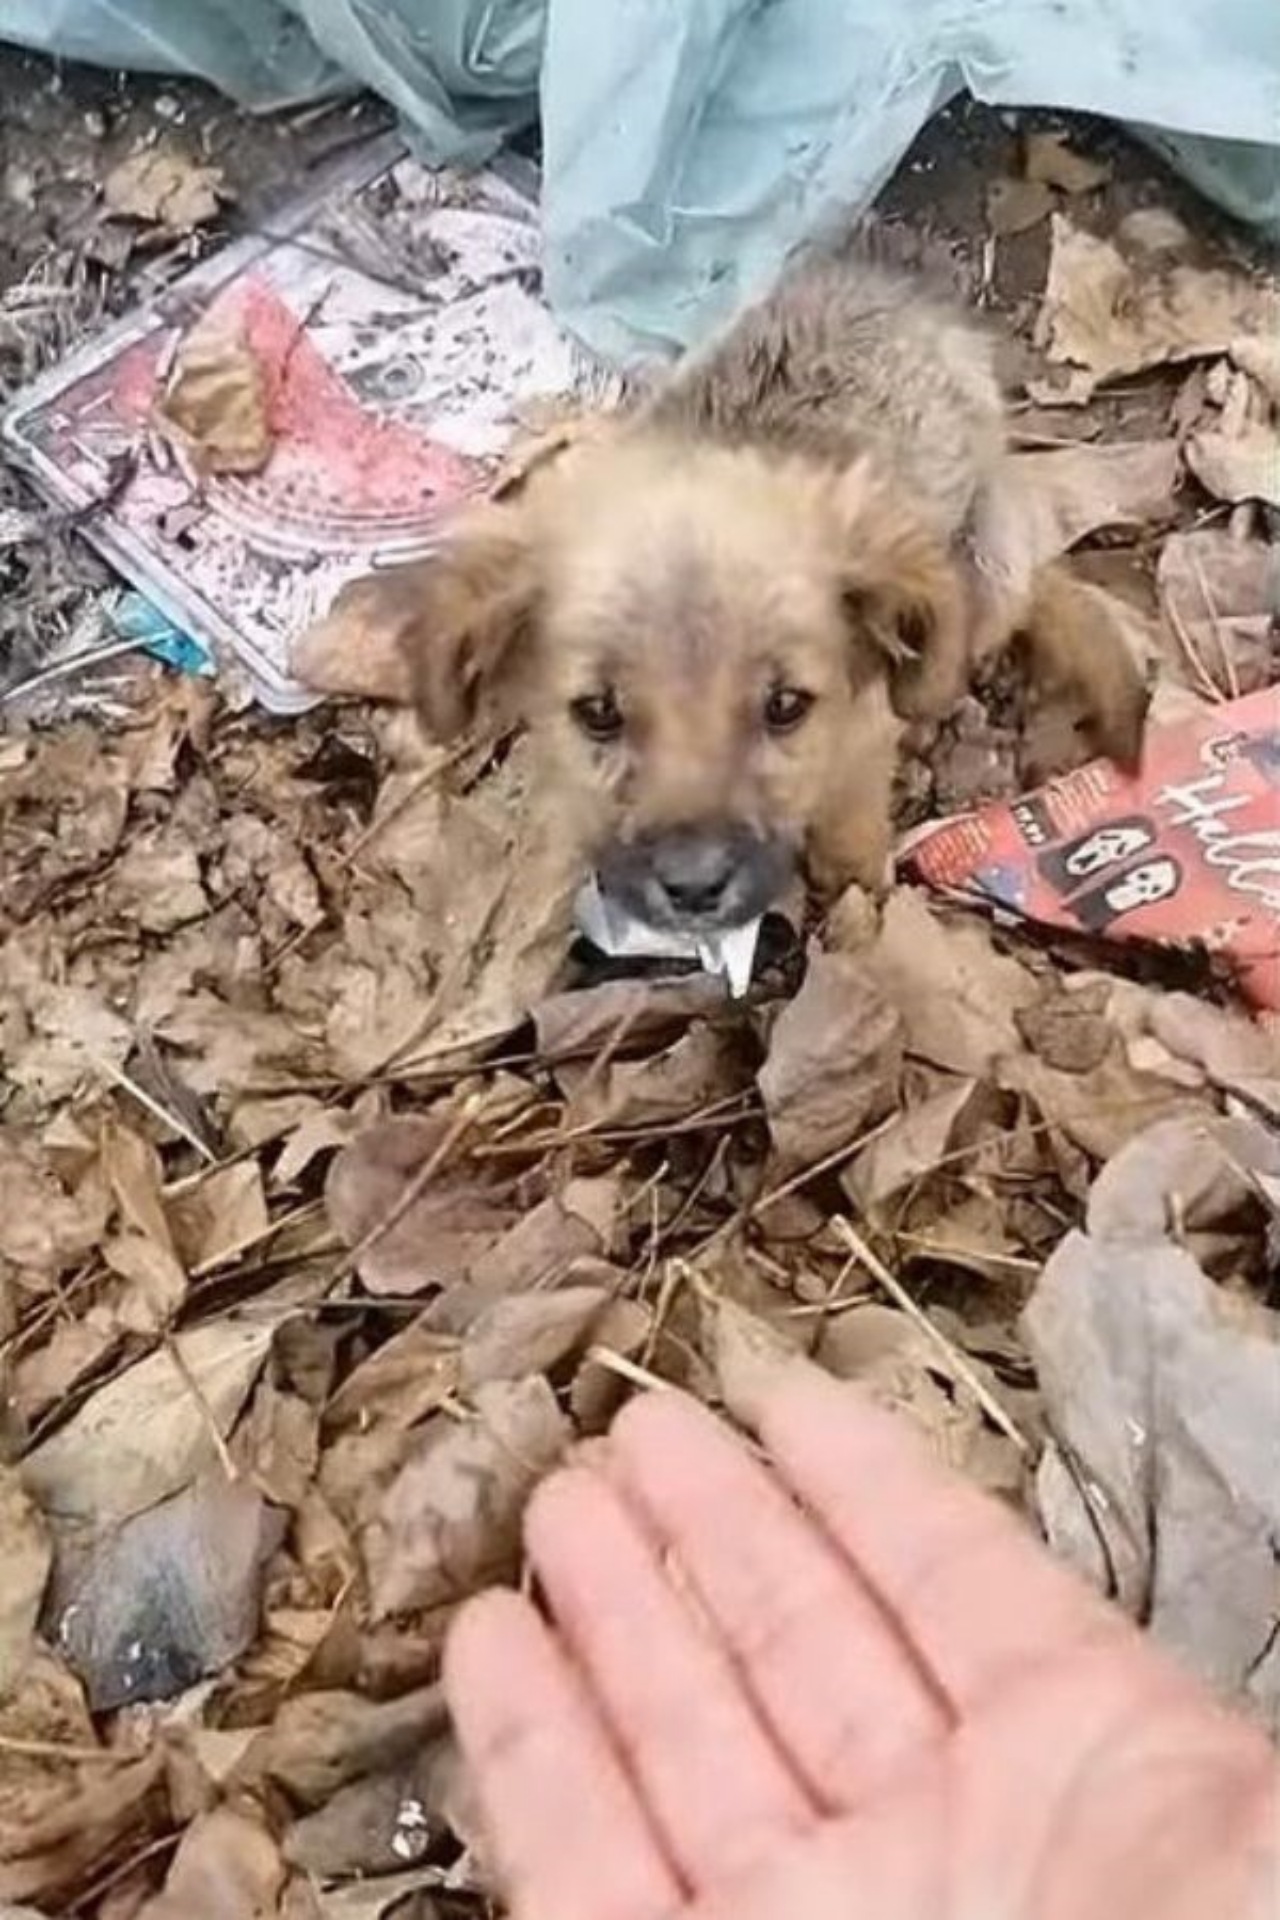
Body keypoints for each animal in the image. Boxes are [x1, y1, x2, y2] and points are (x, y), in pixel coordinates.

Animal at [385, 259, 1143, 933]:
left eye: (785, 707)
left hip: (992, 557)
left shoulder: (863, 736)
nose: (693, 889)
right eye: (598, 712)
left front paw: (857, 894)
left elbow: (850, 819)